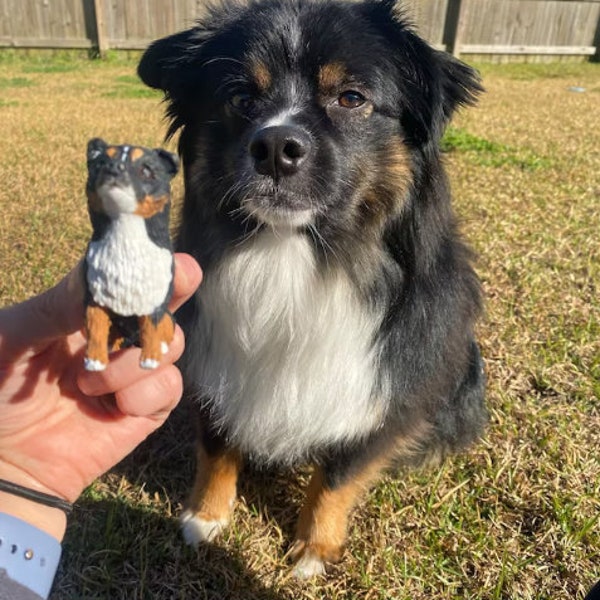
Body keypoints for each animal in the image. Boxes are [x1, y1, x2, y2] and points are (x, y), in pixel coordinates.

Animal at [137, 0, 488, 580]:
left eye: (352, 98)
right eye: (240, 98)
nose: (276, 147)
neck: (292, 254)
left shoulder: (381, 388)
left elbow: (338, 474)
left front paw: (313, 549)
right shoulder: (213, 359)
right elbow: (217, 444)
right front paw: (206, 516)